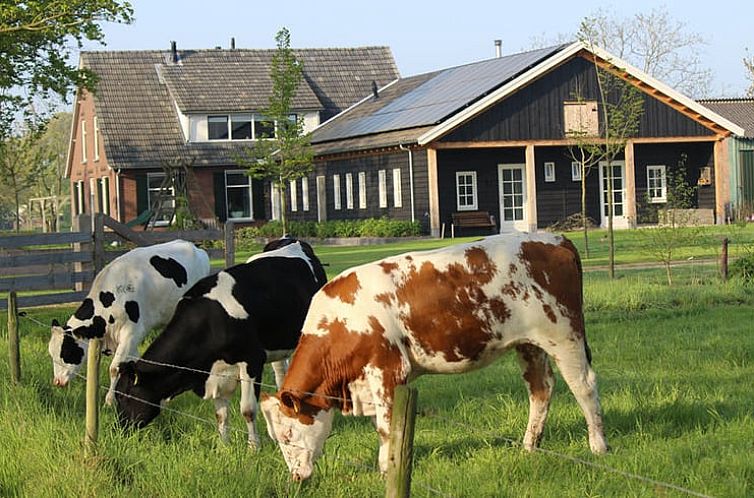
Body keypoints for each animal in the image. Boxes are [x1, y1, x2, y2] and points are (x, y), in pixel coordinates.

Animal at [48, 239, 211, 405]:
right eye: (51, 353)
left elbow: (114, 368)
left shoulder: (131, 333)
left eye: (66, 352)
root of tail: (195, 247)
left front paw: (109, 400)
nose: (57, 382)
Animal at [114, 238, 327, 448]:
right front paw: (224, 445)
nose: (120, 429)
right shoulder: (216, 372)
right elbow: (221, 414)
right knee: (281, 373)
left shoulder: (252, 361)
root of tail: (293, 240)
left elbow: (247, 410)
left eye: (123, 396)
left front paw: (253, 447)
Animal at [261, 232, 608, 481]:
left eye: (289, 434)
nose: (296, 477)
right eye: (278, 438)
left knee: (584, 386)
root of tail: (555, 239)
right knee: (540, 389)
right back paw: (529, 446)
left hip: (564, 335)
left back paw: (598, 446)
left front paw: (388, 469)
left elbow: (386, 426)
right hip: (529, 344)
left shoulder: (388, 370)